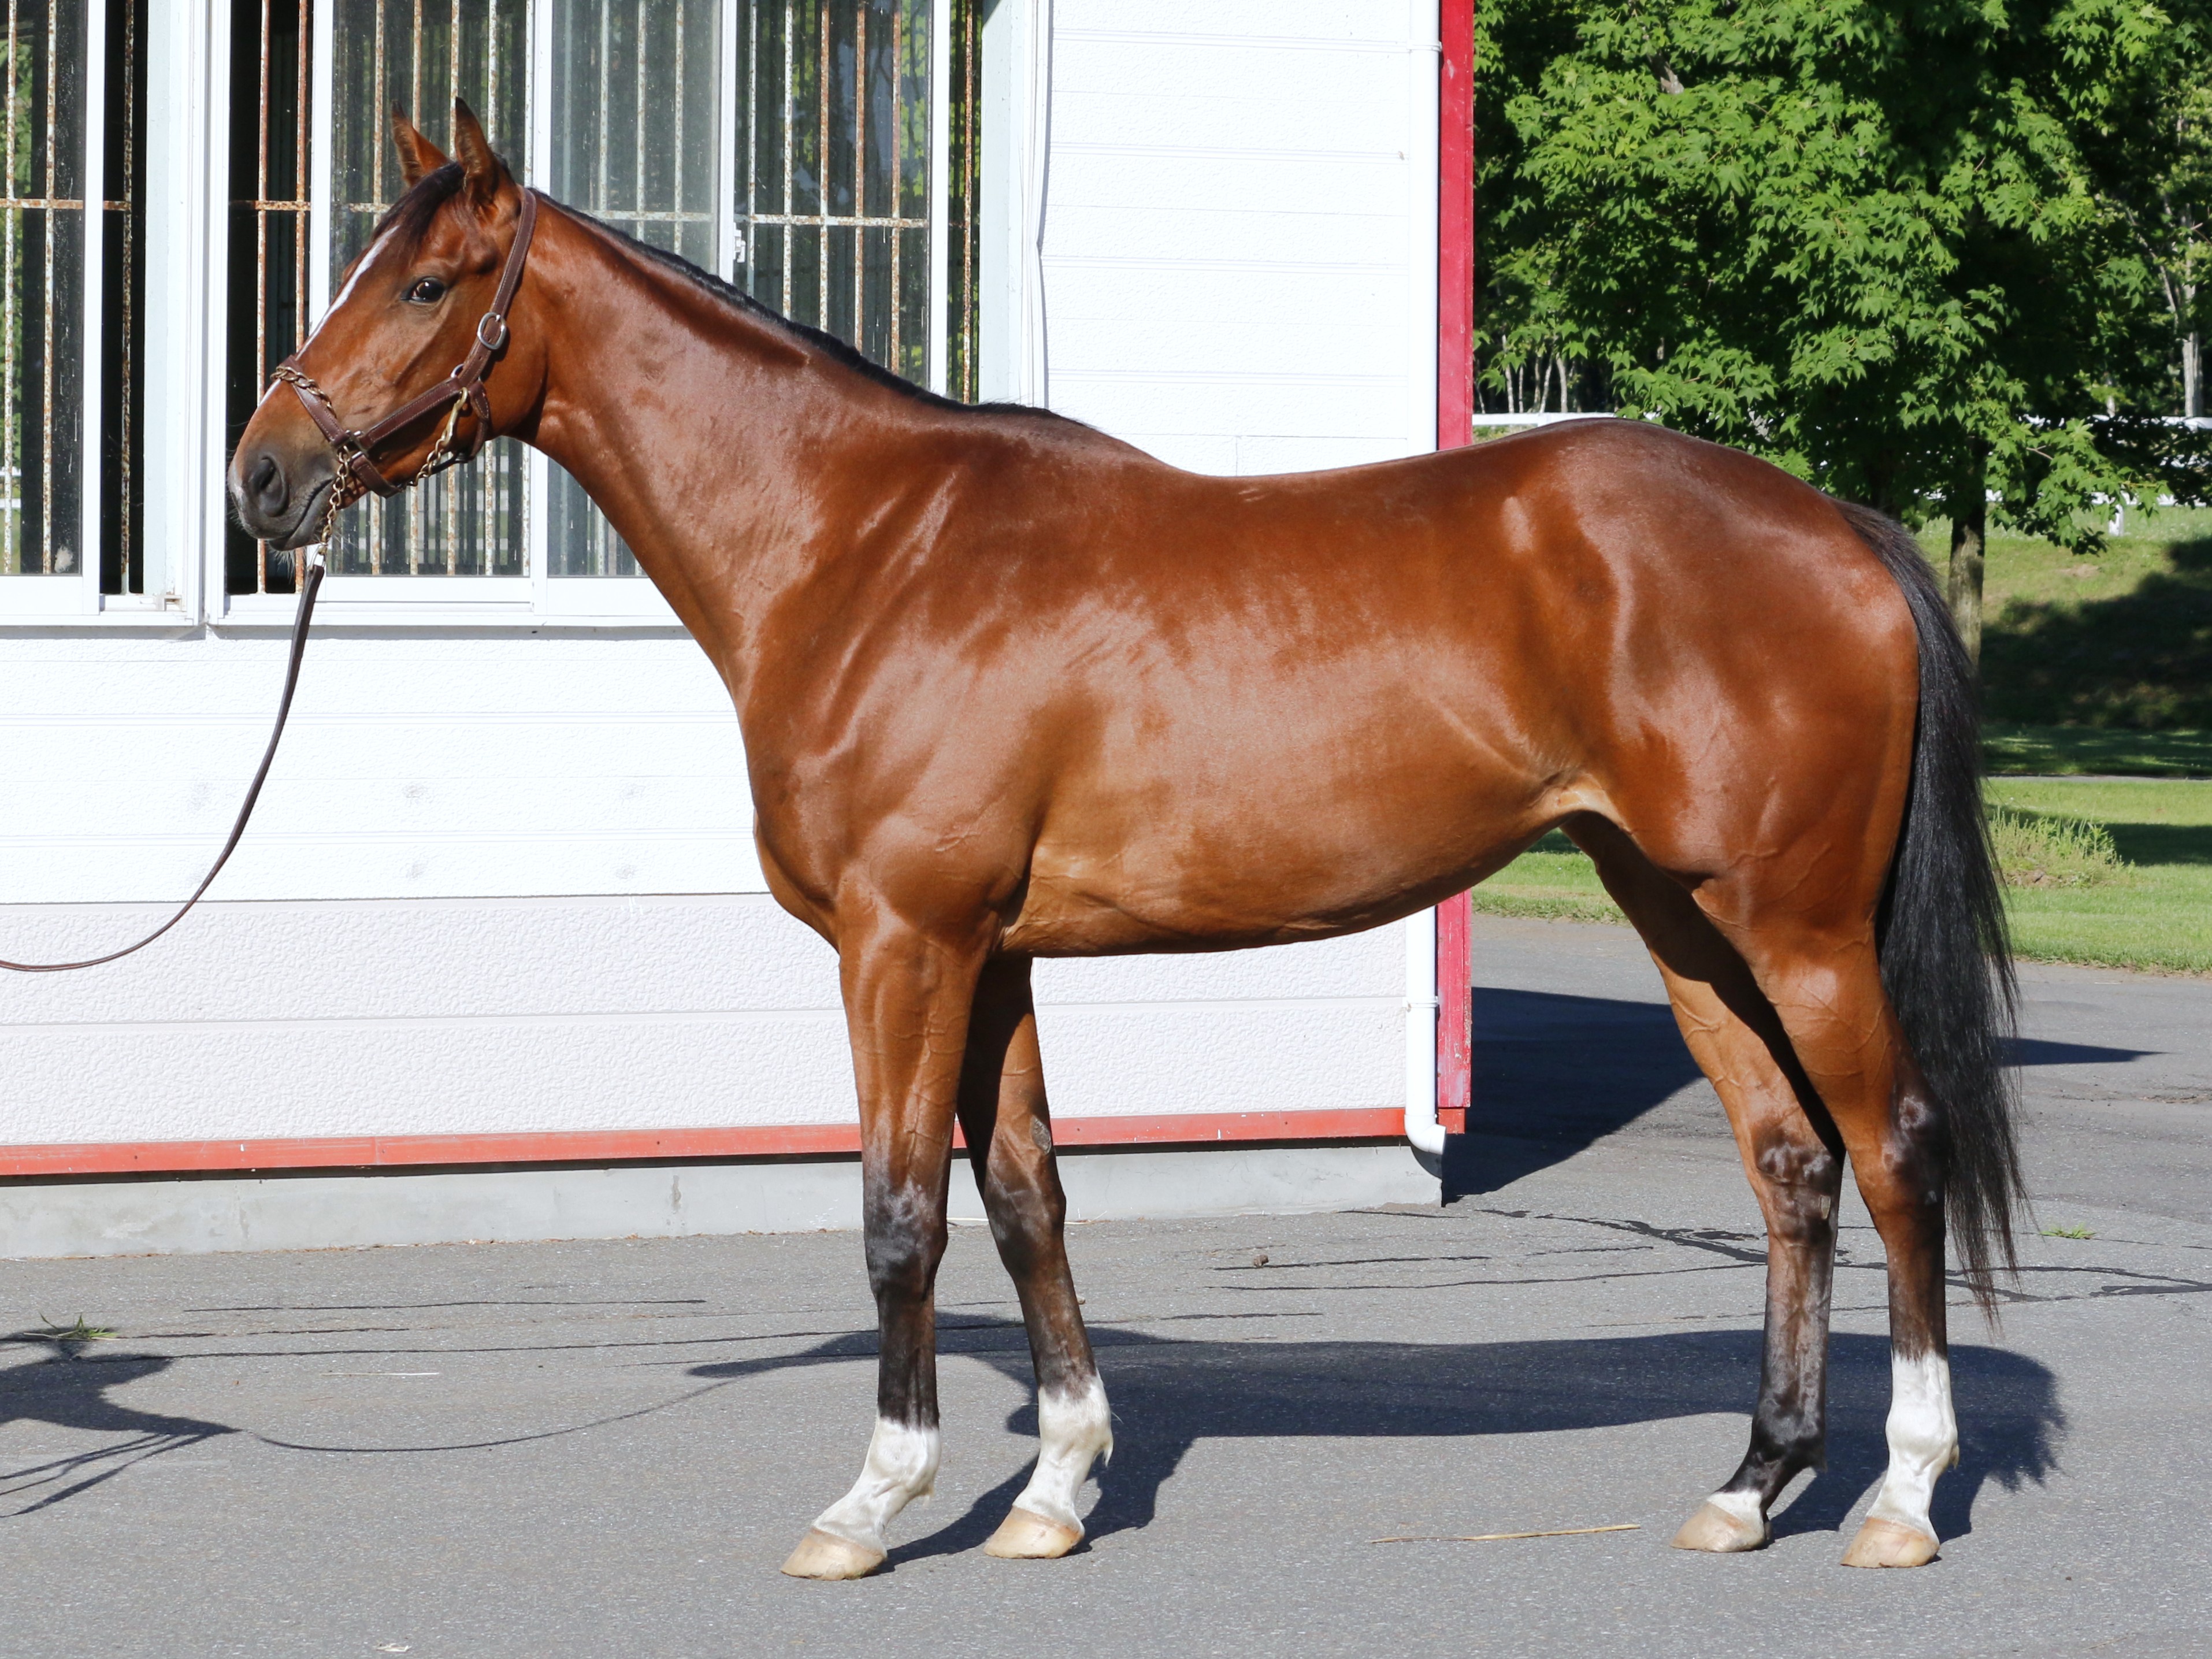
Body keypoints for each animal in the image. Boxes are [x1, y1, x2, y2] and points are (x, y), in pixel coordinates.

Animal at [229, 102, 2021, 1578]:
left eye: (424, 284)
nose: (263, 475)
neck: (866, 547)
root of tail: (1831, 522)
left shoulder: (903, 942)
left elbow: (899, 1211)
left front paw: (874, 1501)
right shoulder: (994, 954)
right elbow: (1026, 1196)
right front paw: (1053, 1489)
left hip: (1795, 927)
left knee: (1892, 1148)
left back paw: (1895, 1494)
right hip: (1679, 915)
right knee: (1788, 1163)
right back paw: (1750, 1483)